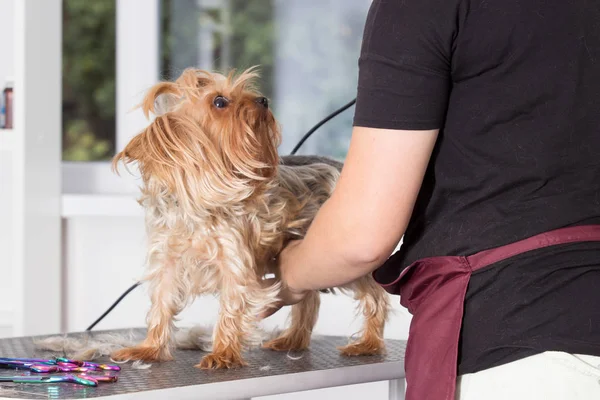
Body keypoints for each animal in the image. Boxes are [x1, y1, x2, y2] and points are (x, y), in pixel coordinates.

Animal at [109, 66, 390, 368]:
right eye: (219, 101)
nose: (263, 100)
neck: (197, 205)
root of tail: (339, 164)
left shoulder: (234, 258)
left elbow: (232, 304)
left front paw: (222, 353)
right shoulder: (168, 260)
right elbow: (161, 304)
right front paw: (149, 349)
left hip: (340, 255)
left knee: (374, 294)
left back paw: (368, 343)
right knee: (309, 300)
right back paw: (292, 340)